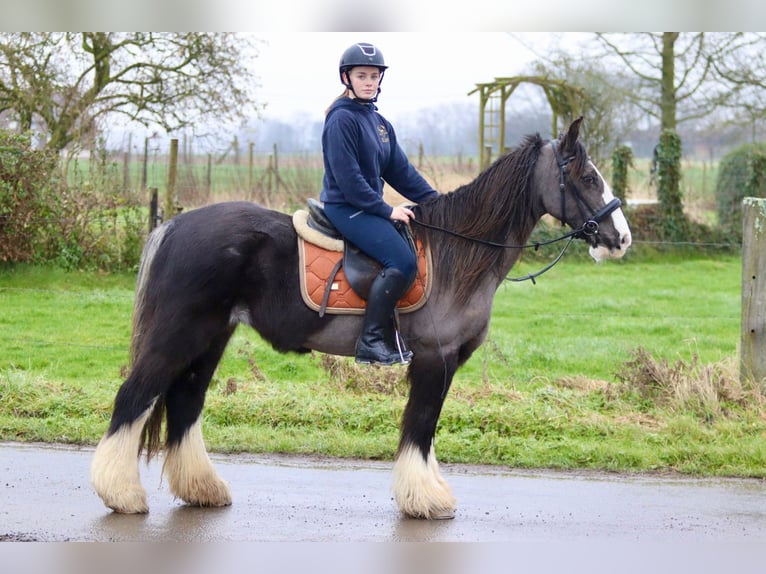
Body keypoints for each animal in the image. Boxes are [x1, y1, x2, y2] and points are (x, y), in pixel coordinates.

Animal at [90, 118, 632, 520]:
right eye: (587, 178)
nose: (622, 238)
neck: (458, 253)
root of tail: (175, 224)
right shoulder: (434, 359)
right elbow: (420, 426)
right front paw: (424, 499)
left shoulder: (446, 363)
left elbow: (427, 428)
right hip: (180, 335)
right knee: (134, 397)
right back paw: (121, 494)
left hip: (210, 338)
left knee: (185, 403)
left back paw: (202, 489)